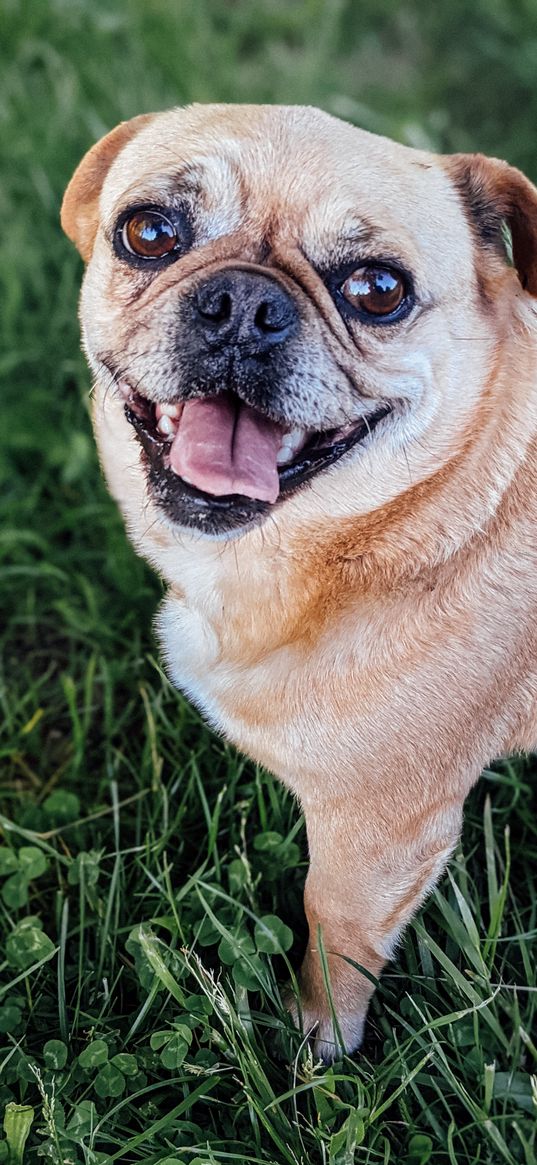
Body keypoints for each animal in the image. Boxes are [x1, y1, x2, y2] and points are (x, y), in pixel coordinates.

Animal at [60, 104, 535, 1062]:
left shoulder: (379, 833)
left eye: (377, 290)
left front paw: (318, 1049)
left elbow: (333, 935)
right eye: (148, 233)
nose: (244, 304)